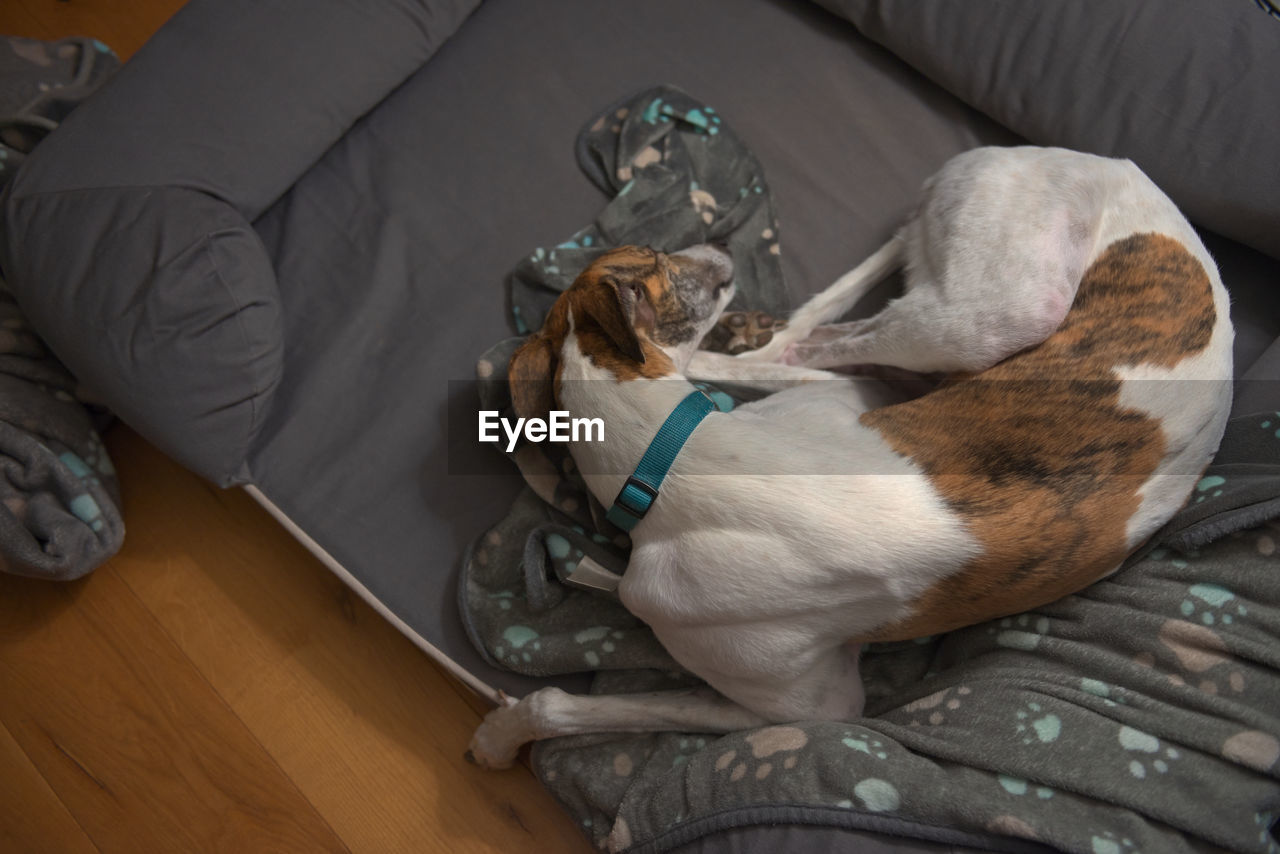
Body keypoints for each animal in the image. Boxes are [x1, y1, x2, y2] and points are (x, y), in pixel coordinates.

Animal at [468, 148, 1228, 773]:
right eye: (658, 254)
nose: (722, 240)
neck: (673, 454)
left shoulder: (813, 704)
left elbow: (570, 703)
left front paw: (500, 736)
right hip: (993, 319)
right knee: (810, 342)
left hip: (996, 314)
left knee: (816, 343)